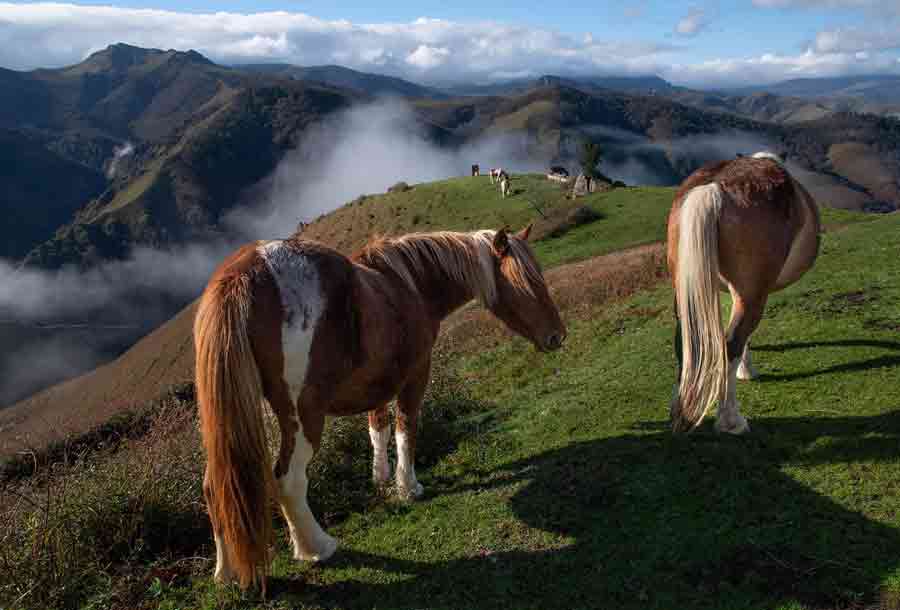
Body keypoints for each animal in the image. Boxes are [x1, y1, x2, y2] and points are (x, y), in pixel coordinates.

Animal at [194, 226, 566, 589]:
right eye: (527, 280)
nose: (557, 336)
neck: (412, 284)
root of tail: (243, 272)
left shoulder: (381, 381)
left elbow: (378, 428)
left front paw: (381, 478)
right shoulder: (415, 374)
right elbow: (406, 429)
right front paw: (408, 486)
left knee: (216, 487)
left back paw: (227, 574)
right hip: (303, 417)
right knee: (288, 480)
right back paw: (317, 547)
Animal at [667, 152, 821, 434]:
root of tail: (714, 188)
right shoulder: (753, 293)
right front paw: (746, 372)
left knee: (687, 343)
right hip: (752, 297)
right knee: (730, 346)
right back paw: (731, 420)